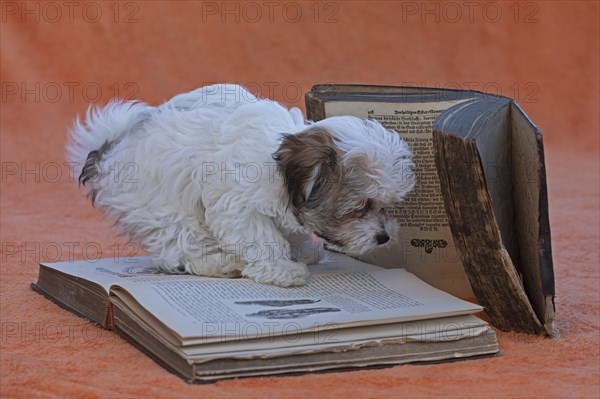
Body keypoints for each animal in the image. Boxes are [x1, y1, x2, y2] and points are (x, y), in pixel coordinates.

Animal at [65, 83, 412, 288]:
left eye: (385, 207)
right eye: (360, 208)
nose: (383, 237)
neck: (276, 163)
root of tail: (109, 151)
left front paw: (301, 249)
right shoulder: (237, 206)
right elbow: (263, 238)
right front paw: (282, 269)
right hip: (162, 205)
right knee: (181, 246)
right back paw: (221, 264)